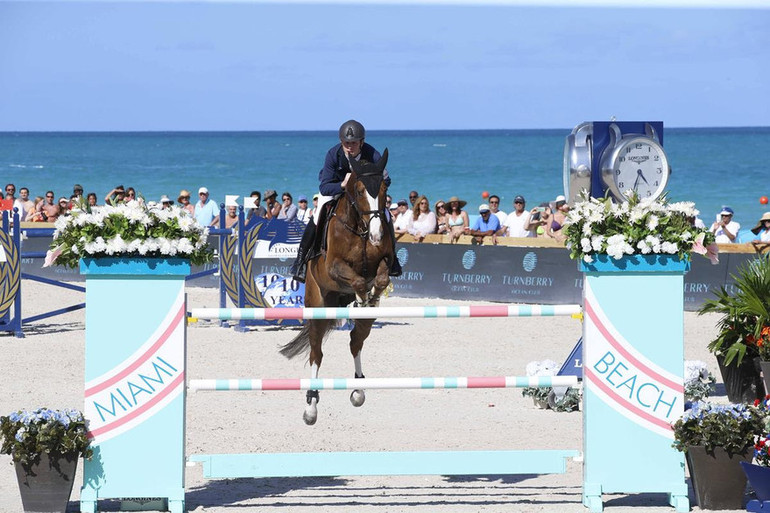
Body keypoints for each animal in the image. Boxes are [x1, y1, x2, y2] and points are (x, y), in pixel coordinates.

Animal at [280, 149, 392, 424]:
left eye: (385, 188)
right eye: (360, 191)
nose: (376, 235)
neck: (360, 227)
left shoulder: (384, 261)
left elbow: (381, 278)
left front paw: (371, 296)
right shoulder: (333, 268)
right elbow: (358, 279)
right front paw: (363, 295)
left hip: (364, 321)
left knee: (355, 341)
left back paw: (359, 389)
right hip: (317, 306)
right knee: (316, 353)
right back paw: (311, 405)